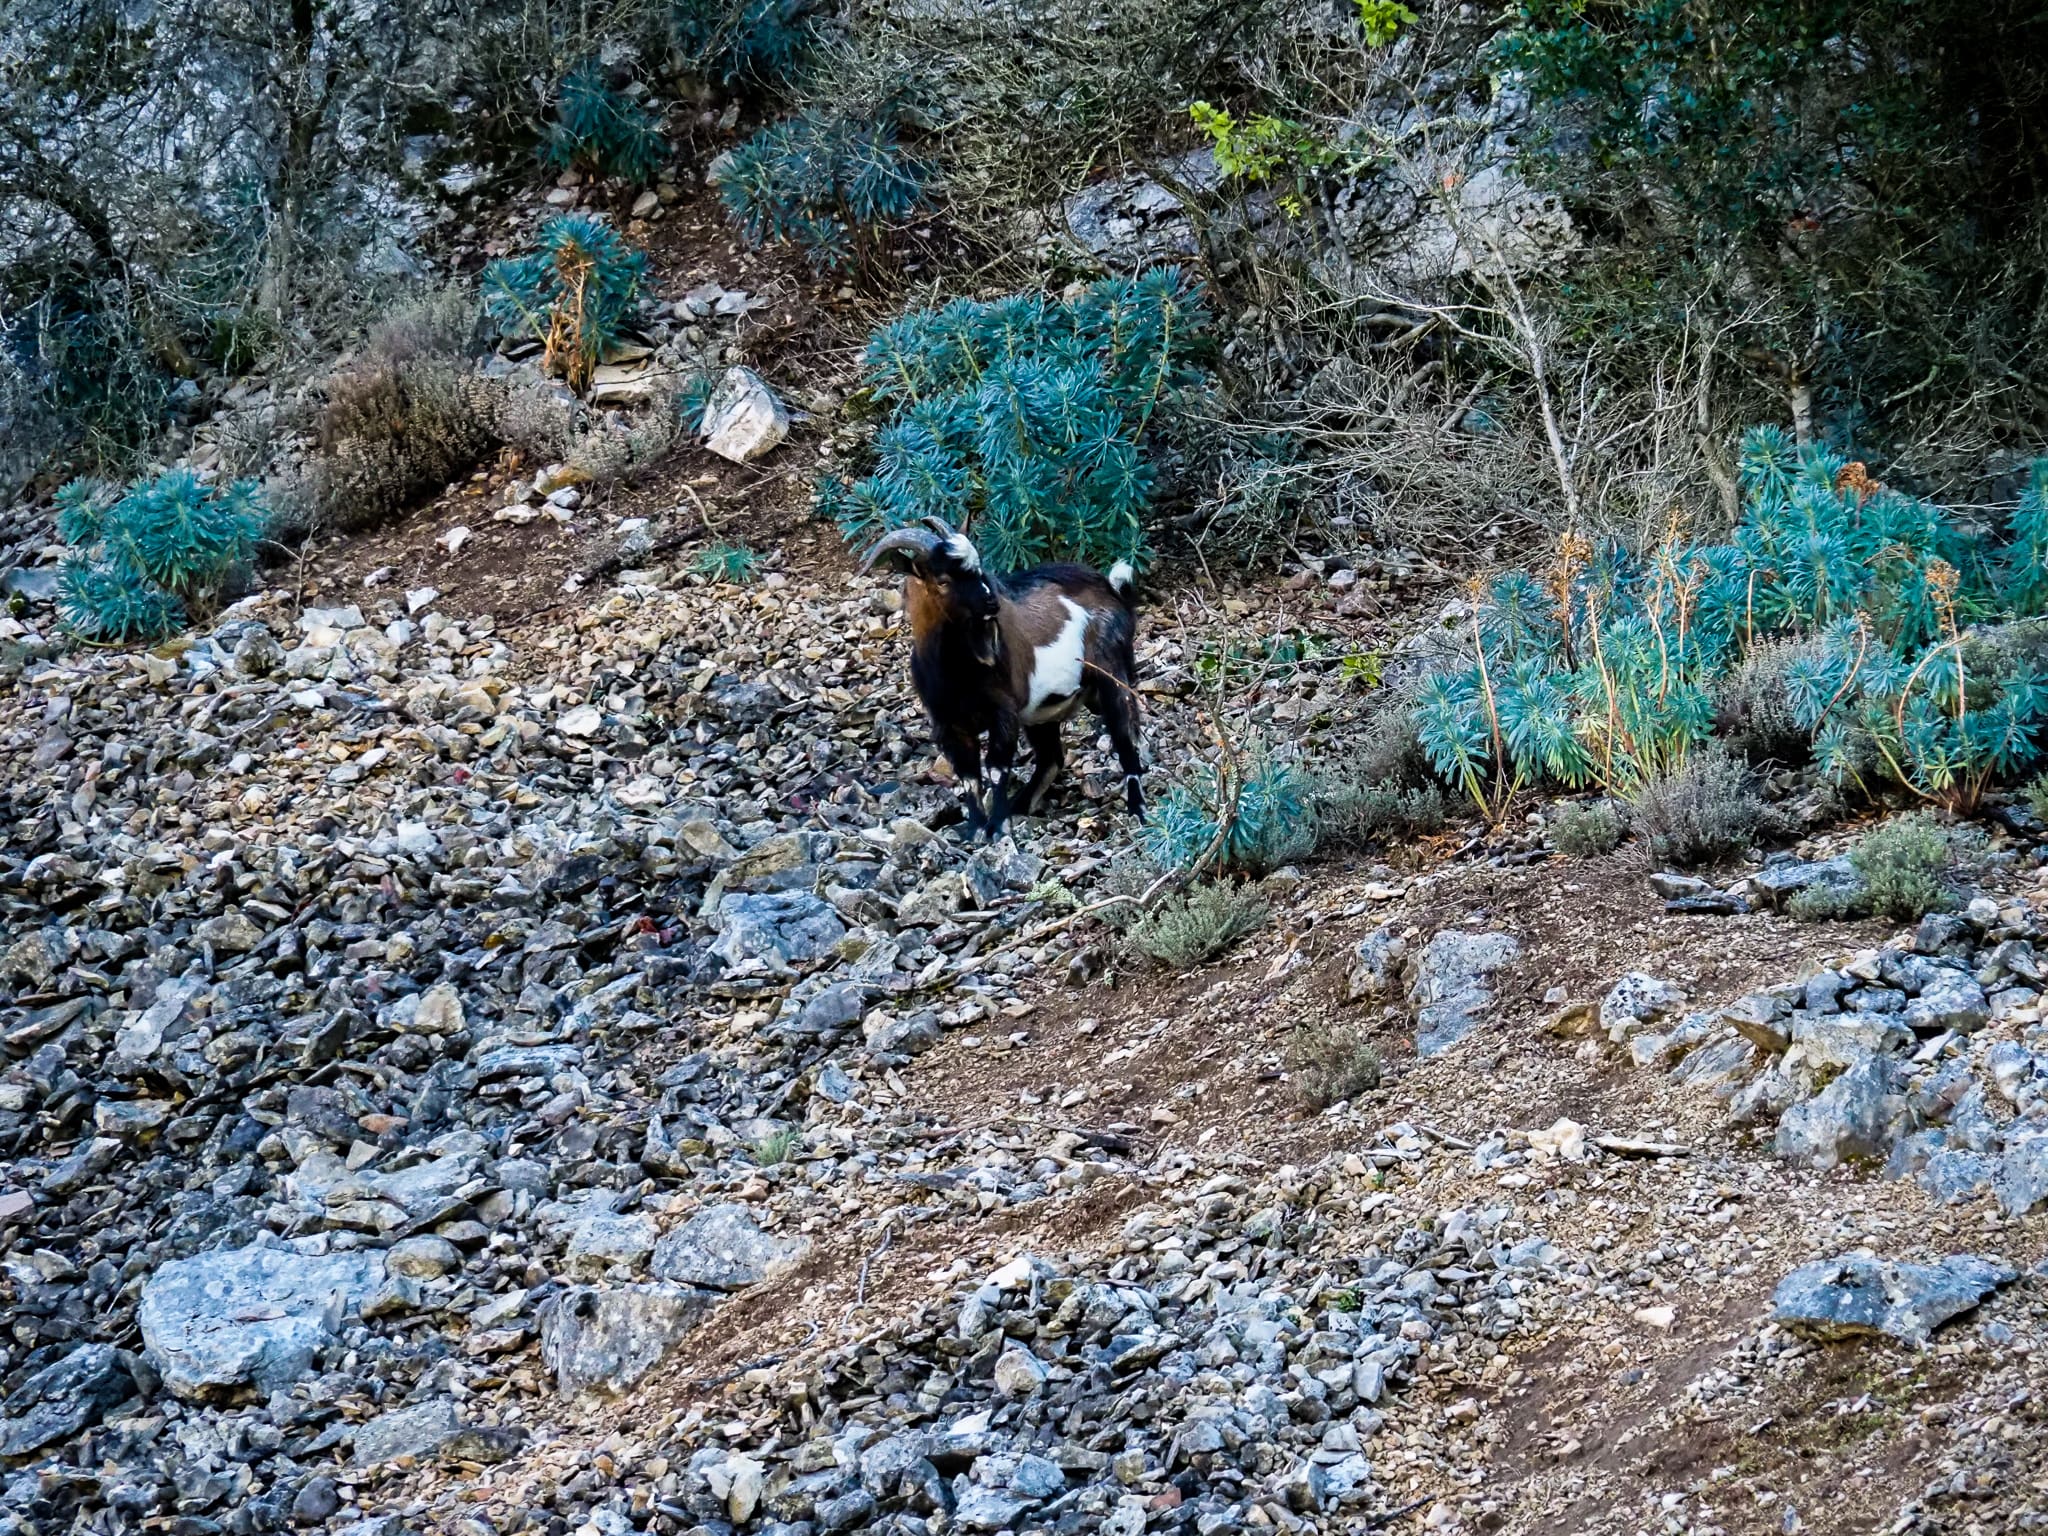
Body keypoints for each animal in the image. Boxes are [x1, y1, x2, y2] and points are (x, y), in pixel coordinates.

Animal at [860, 520, 1146, 843]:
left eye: (977, 568)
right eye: (943, 581)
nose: (991, 602)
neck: (955, 674)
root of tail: (1113, 590)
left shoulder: (1003, 711)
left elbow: (996, 768)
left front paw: (998, 827)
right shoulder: (949, 723)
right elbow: (969, 775)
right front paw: (974, 829)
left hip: (1113, 676)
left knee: (1125, 737)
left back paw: (1138, 810)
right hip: (1041, 711)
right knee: (1051, 757)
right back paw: (1022, 803)